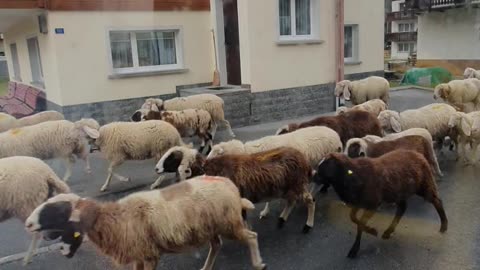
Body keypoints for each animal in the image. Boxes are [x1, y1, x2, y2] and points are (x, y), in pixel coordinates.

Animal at [25, 175, 266, 270]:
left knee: (252, 236)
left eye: (56, 210)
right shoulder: (138, 253)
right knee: (216, 246)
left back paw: (258, 263)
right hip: (210, 227)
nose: (27, 224)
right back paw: (205, 268)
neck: (114, 218)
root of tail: (230, 185)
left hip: (230, 223)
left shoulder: (149, 254)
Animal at [314, 151, 448, 258]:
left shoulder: (373, 204)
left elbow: (360, 223)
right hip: (399, 192)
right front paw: (371, 231)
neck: (352, 175)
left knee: (437, 201)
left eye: (325, 166)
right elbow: (353, 218)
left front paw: (356, 247)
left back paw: (444, 226)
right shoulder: (359, 203)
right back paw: (388, 231)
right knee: (402, 208)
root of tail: (418, 154)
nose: (313, 177)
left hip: (424, 184)